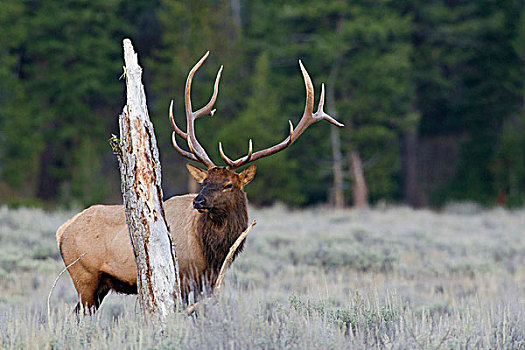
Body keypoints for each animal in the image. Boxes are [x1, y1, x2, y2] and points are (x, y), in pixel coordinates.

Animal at [56, 51, 344, 312]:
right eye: (205, 181)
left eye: (228, 184)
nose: (199, 200)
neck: (212, 252)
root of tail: (62, 230)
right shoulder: (183, 277)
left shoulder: (209, 281)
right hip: (85, 277)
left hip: (99, 285)